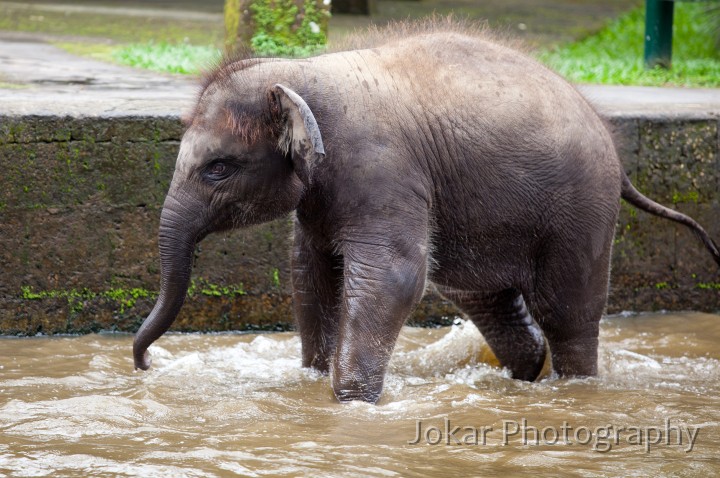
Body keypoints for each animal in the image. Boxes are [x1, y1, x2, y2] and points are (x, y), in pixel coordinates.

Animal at [134, 23, 720, 404]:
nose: (143, 363)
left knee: (568, 312)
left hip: (582, 212)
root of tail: (615, 150)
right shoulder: (323, 194)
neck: (304, 75)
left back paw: (573, 387)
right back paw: (523, 374)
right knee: (484, 296)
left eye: (218, 168)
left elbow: (392, 277)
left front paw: (352, 402)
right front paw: (314, 383)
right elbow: (311, 276)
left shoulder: (381, 168)